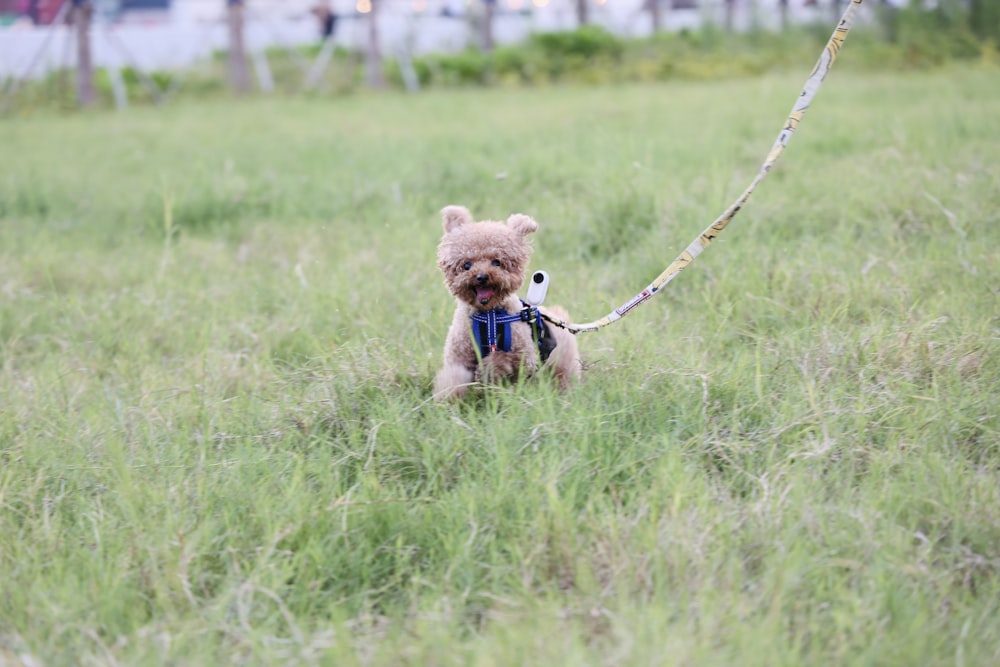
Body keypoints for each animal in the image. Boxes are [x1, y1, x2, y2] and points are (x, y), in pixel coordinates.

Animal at [434, 206, 584, 400]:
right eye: (466, 265)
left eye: (497, 262)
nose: (482, 276)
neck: (488, 316)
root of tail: (559, 316)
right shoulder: (459, 355)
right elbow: (455, 377)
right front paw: (448, 398)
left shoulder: (525, 357)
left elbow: (502, 359)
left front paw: (488, 369)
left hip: (562, 364)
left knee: (563, 379)